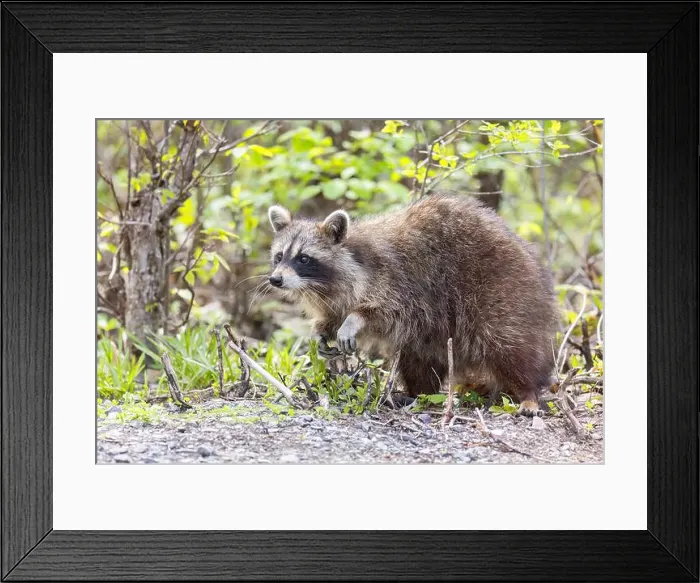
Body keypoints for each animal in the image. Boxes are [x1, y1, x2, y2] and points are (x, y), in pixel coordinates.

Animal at [267, 193, 558, 416]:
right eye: (279, 256)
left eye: (303, 258)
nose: (275, 279)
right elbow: (334, 315)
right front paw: (321, 329)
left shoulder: (399, 281)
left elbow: (383, 310)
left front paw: (354, 319)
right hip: (435, 333)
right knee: (417, 358)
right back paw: (417, 393)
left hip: (504, 295)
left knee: (511, 347)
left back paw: (528, 391)